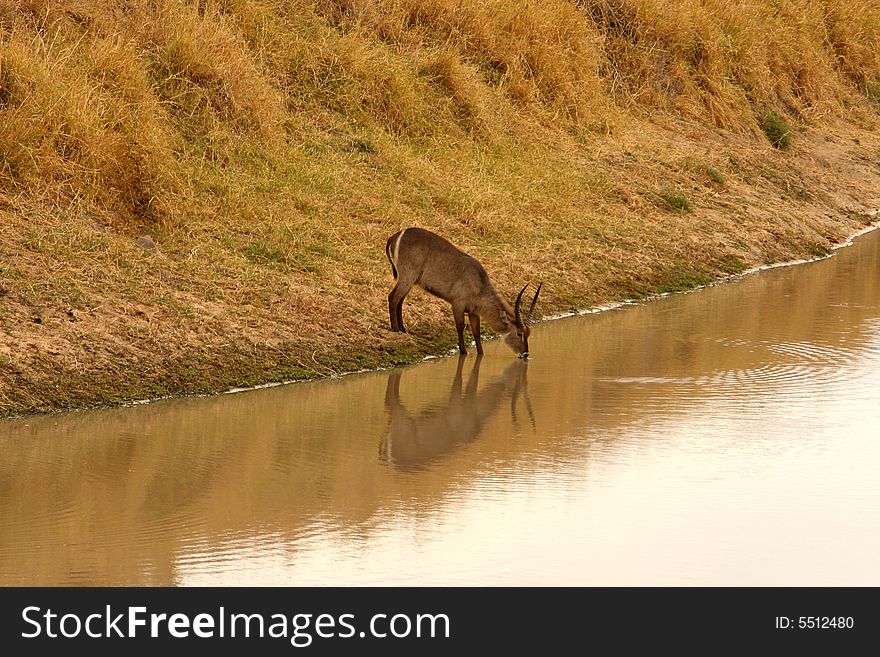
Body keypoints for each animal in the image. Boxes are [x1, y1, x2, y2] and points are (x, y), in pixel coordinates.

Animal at [386, 227, 544, 358]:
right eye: (519, 333)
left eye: (529, 333)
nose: (525, 354)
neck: (478, 283)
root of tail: (396, 235)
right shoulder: (457, 304)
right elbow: (460, 325)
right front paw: (463, 351)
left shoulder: (473, 312)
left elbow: (476, 331)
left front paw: (480, 353)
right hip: (407, 276)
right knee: (393, 297)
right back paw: (395, 329)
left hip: (410, 280)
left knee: (400, 300)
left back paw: (403, 328)